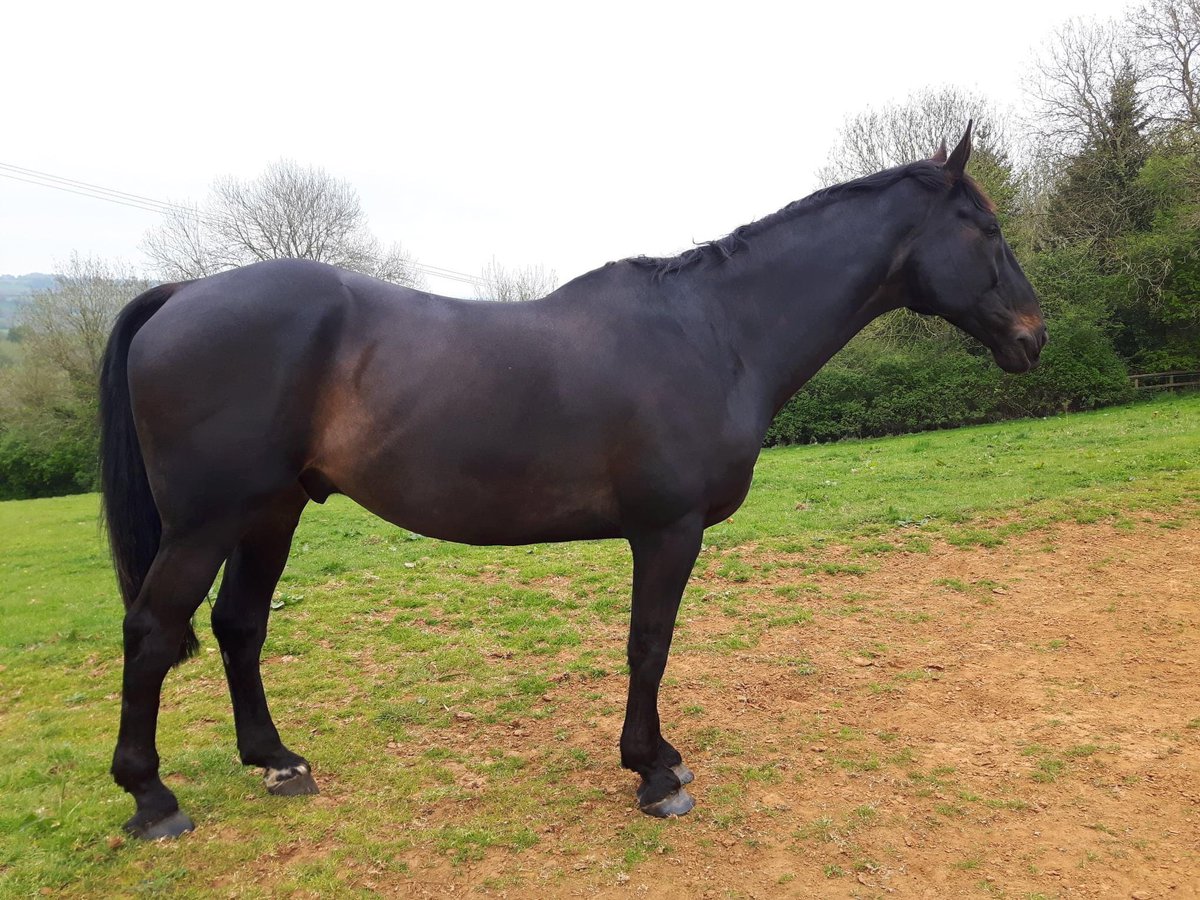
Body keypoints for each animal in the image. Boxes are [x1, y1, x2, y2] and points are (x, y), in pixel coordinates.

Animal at [100, 123, 1045, 839]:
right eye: (987, 230)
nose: (1035, 336)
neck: (715, 331)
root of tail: (181, 293)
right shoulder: (668, 529)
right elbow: (649, 643)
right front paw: (654, 773)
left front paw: (658, 760)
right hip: (208, 522)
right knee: (152, 632)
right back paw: (153, 800)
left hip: (274, 509)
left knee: (239, 625)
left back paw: (277, 761)